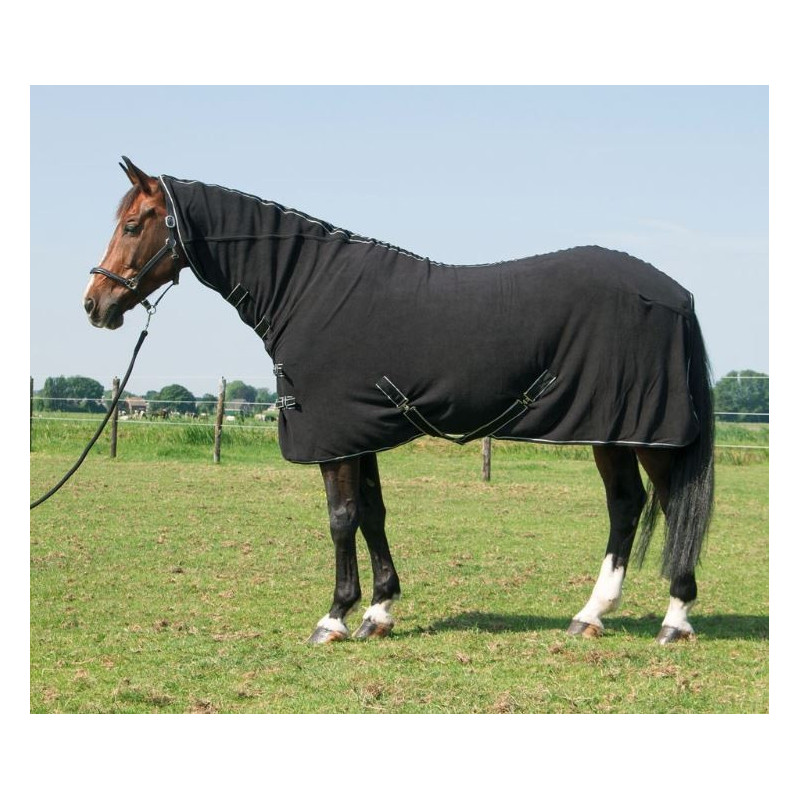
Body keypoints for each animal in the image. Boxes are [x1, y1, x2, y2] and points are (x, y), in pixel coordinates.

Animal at [83, 157, 714, 645]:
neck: (309, 290)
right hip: (613, 432)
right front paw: (379, 611)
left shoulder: (334, 437)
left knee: (665, 502)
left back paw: (675, 621)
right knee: (627, 506)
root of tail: (676, 293)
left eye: (134, 224)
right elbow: (372, 514)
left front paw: (334, 618)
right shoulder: (358, 430)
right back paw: (590, 616)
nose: (95, 303)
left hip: (645, 432)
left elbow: (341, 519)